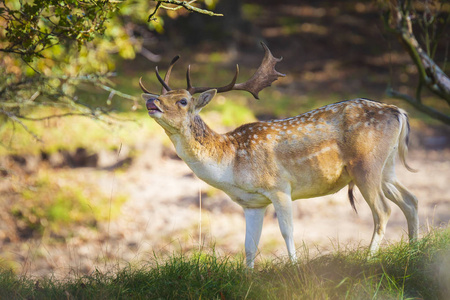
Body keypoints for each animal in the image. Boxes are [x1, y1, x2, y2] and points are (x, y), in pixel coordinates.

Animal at [140, 42, 418, 268]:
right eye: (163, 95)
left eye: (183, 101)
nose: (152, 102)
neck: (231, 163)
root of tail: (398, 112)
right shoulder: (252, 203)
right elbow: (249, 245)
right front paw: (248, 277)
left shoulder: (280, 187)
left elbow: (287, 232)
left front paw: (294, 268)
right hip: (387, 167)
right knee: (411, 200)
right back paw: (414, 251)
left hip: (365, 164)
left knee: (383, 211)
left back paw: (369, 260)